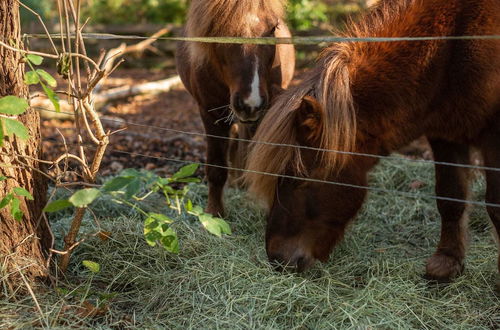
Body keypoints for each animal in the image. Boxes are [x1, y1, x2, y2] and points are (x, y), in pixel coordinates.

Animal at [177, 0, 294, 217]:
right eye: (220, 30)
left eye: (273, 28)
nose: (251, 102)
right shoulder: (211, 113)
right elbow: (216, 166)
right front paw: (214, 213)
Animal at [244, 0, 498, 284]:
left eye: (300, 180)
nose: (277, 258)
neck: (450, 46)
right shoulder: (445, 135)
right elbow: (450, 196)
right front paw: (447, 264)